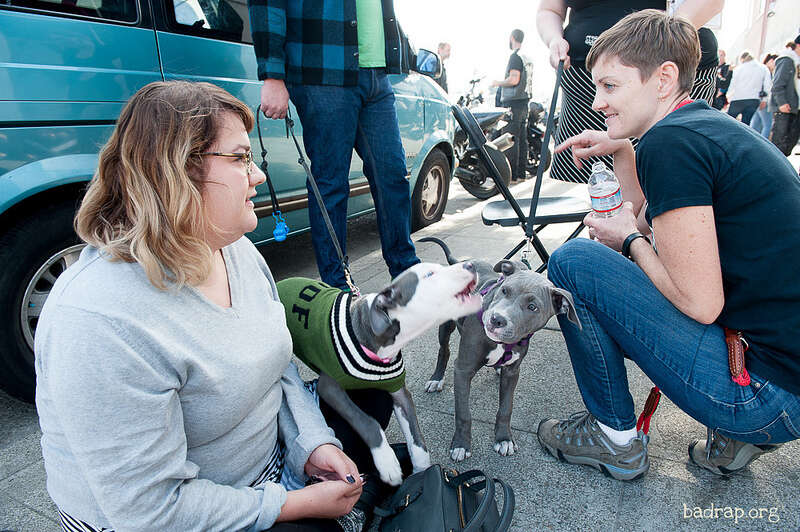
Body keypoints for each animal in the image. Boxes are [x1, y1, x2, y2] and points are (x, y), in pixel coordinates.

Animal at [276, 262, 481, 485]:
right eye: (429, 274)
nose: (470, 264)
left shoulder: (399, 392)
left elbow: (417, 439)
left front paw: (421, 471)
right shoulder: (329, 387)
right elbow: (367, 421)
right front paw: (387, 462)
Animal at [419, 237, 580, 462]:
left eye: (532, 307)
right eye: (504, 290)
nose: (496, 319)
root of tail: (461, 262)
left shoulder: (513, 372)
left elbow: (506, 408)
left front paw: (504, 439)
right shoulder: (463, 370)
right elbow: (463, 413)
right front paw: (461, 445)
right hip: (446, 322)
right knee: (444, 350)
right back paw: (436, 379)